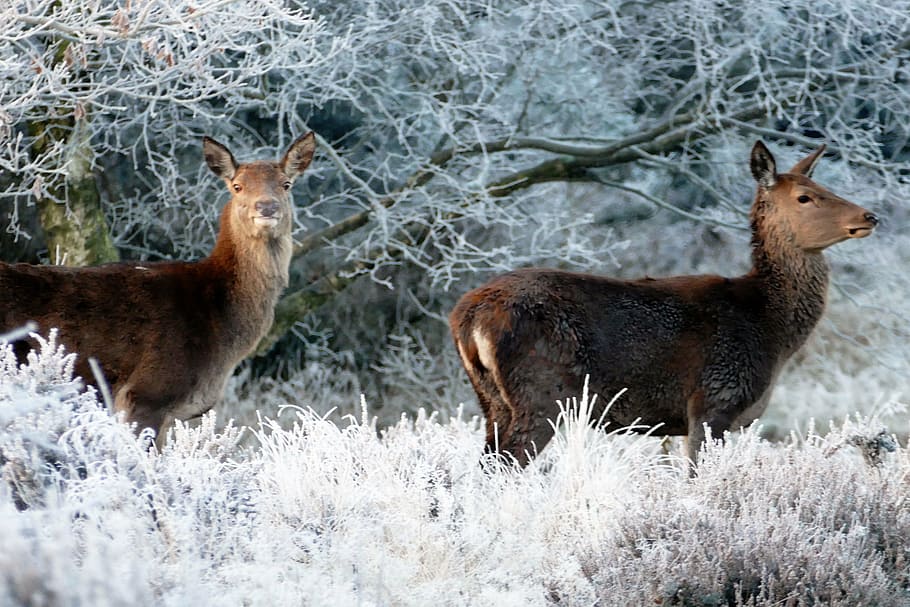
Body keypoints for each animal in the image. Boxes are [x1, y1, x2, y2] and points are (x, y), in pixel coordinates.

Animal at [450, 141, 879, 469]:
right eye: (805, 197)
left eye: (822, 184)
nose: (869, 215)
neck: (771, 330)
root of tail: (467, 317)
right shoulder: (713, 400)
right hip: (542, 393)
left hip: (492, 401)